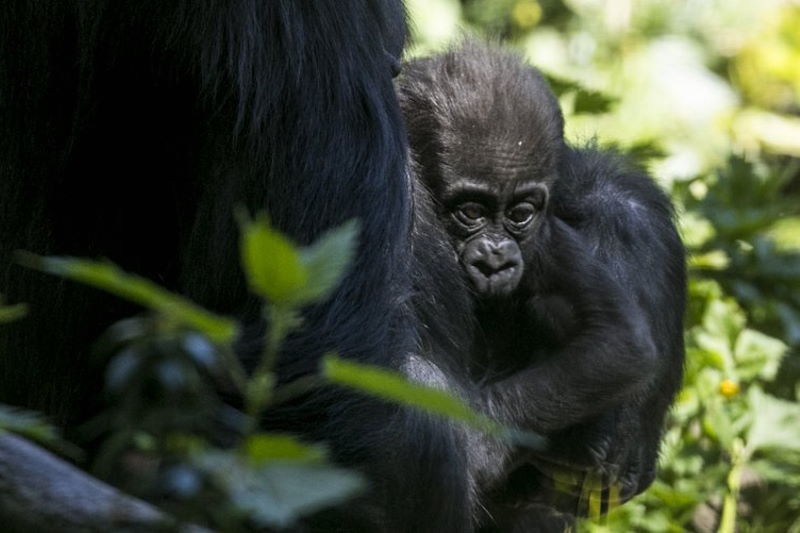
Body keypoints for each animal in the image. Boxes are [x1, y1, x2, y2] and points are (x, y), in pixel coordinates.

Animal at [396, 41, 684, 528]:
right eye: (470, 212)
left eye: (519, 214)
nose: (495, 256)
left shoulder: (549, 239)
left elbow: (619, 339)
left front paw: (482, 439)